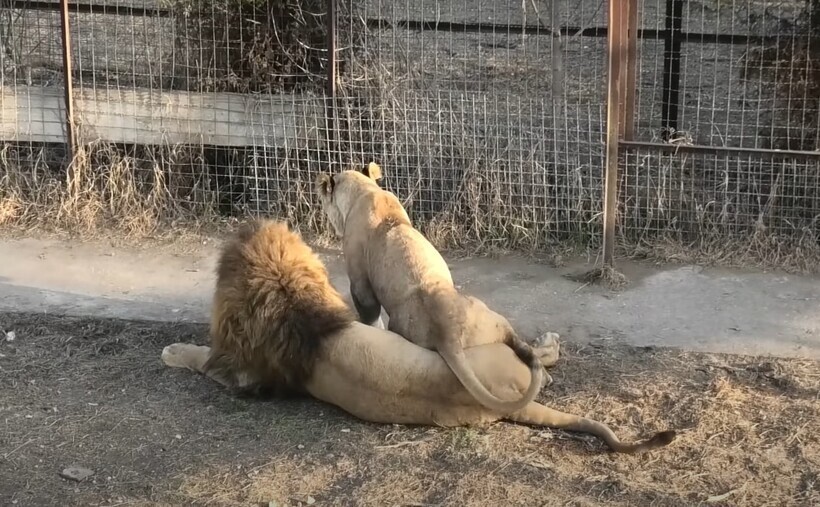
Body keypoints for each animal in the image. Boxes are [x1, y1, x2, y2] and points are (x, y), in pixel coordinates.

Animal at [159, 220, 672, 454]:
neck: (290, 301)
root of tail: (510, 404)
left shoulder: (247, 372)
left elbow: (201, 357)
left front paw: (171, 349)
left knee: (536, 355)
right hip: (491, 342)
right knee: (537, 360)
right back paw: (549, 345)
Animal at [318, 165, 548, 414]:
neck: (365, 190)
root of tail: (446, 333)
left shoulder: (359, 279)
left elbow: (370, 315)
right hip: (487, 317)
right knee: (518, 343)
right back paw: (545, 374)